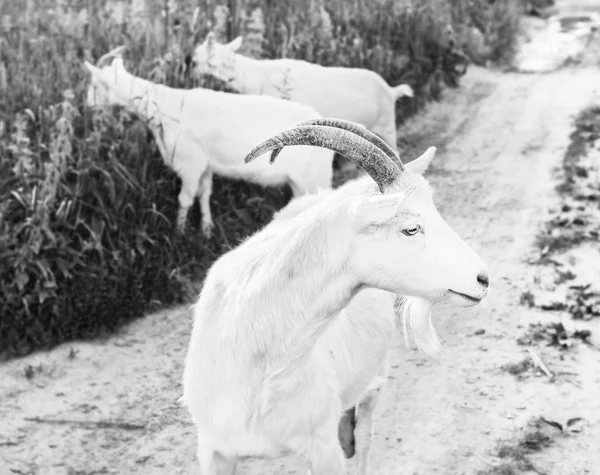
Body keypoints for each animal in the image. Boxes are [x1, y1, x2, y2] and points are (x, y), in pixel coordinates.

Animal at [84, 48, 336, 238]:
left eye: (95, 86)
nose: (86, 105)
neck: (167, 108)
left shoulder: (189, 164)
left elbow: (185, 200)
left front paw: (179, 232)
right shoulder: (205, 165)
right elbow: (204, 194)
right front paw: (205, 229)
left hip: (316, 178)